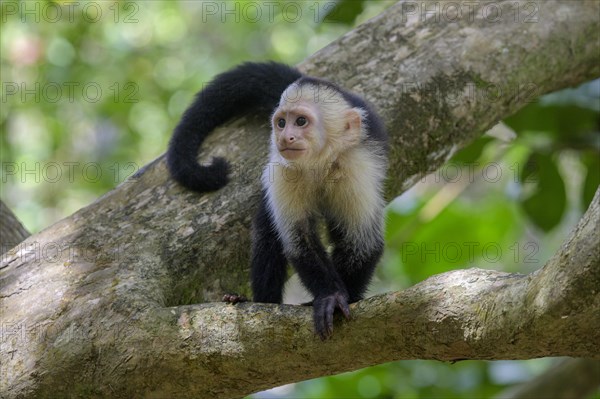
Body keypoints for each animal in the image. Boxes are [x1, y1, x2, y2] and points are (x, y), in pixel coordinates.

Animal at [166, 62, 390, 340]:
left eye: (301, 121)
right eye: (282, 123)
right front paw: (331, 296)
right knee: (267, 229)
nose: (285, 137)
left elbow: (362, 243)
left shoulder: (356, 167)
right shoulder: (283, 172)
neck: (319, 164)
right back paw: (258, 301)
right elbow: (299, 240)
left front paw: (347, 298)